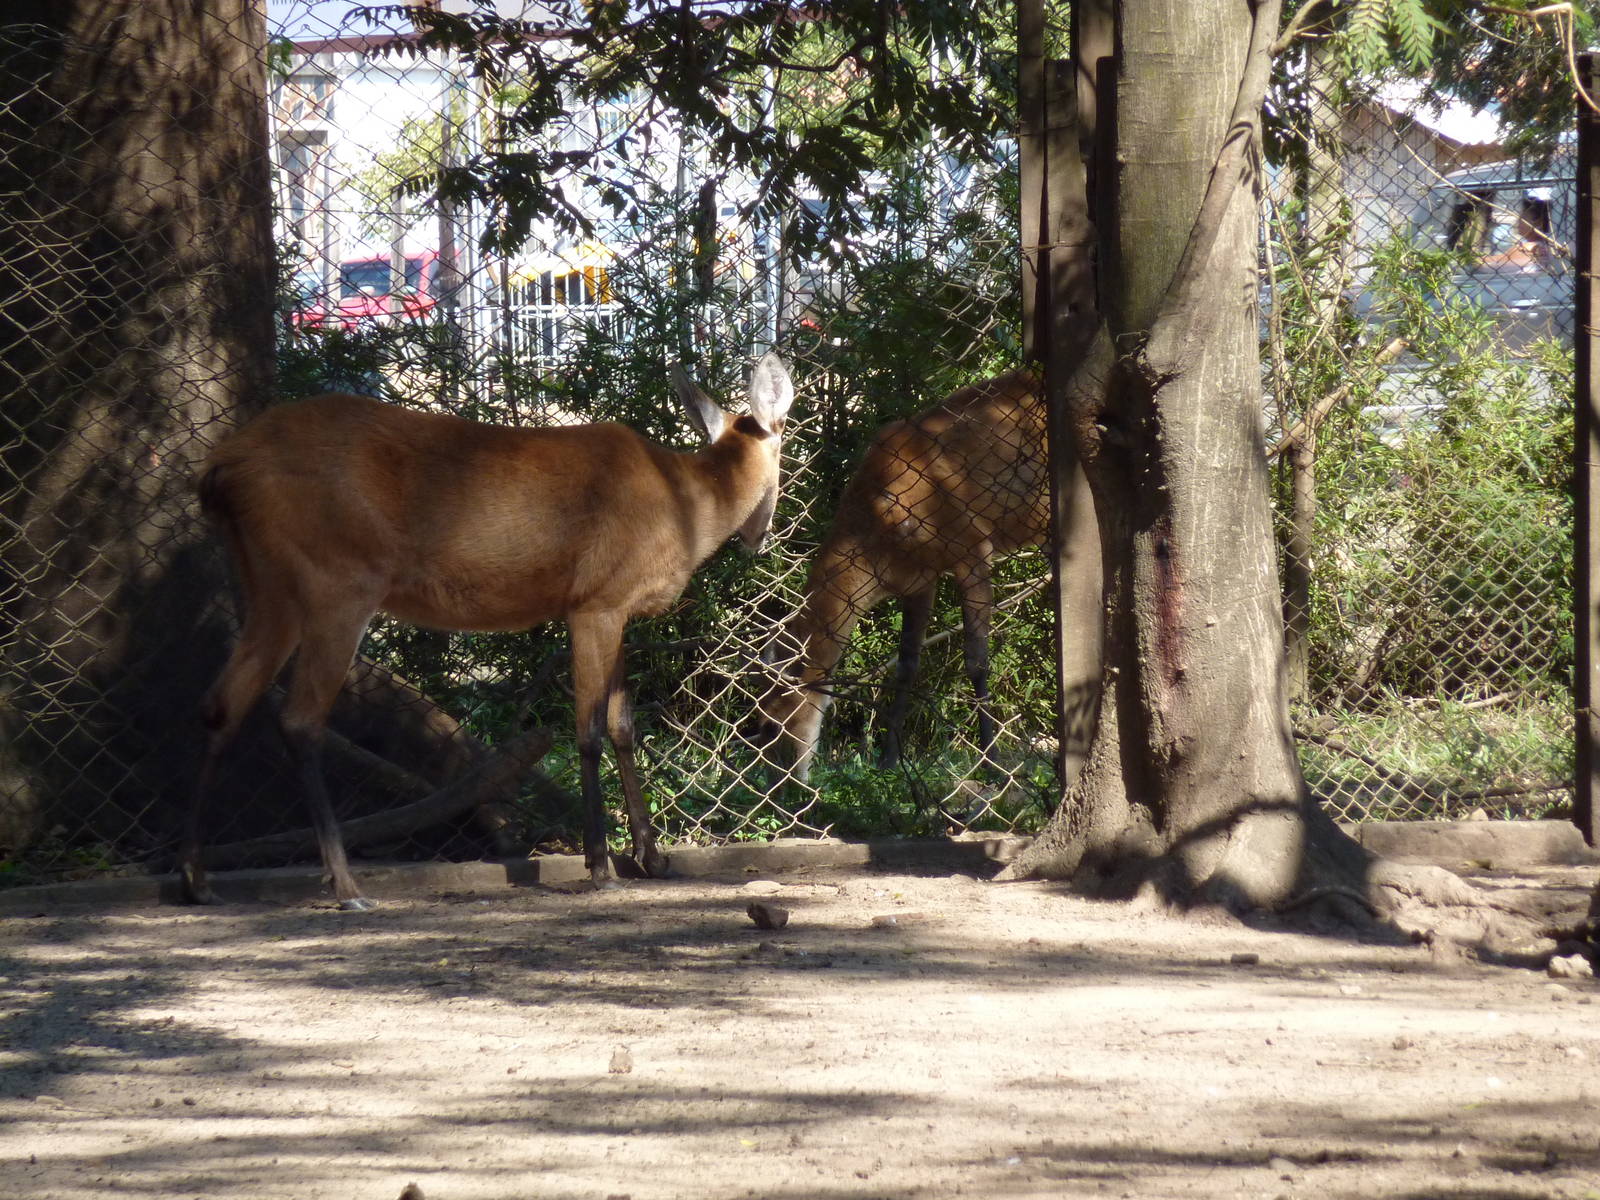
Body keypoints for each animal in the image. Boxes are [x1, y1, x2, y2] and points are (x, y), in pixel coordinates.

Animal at [183, 352, 795, 910]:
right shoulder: (593, 600)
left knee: (221, 702)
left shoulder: (615, 606)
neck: (686, 505)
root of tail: (221, 469)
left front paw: (651, 856)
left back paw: (198, 879)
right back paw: (345, 886)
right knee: (300, 717)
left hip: (270, 586)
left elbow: (624, 725)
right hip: (340, 581)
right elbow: (589, 731)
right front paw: (601, 865)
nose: (759, 536)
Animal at [757, 369, 1045, 784]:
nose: (784, 784)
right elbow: (907, 666)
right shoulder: (919, 579)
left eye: (772, 723)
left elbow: (976, 660)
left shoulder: (972, 546)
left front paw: (990, 763)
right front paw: (888, 762)